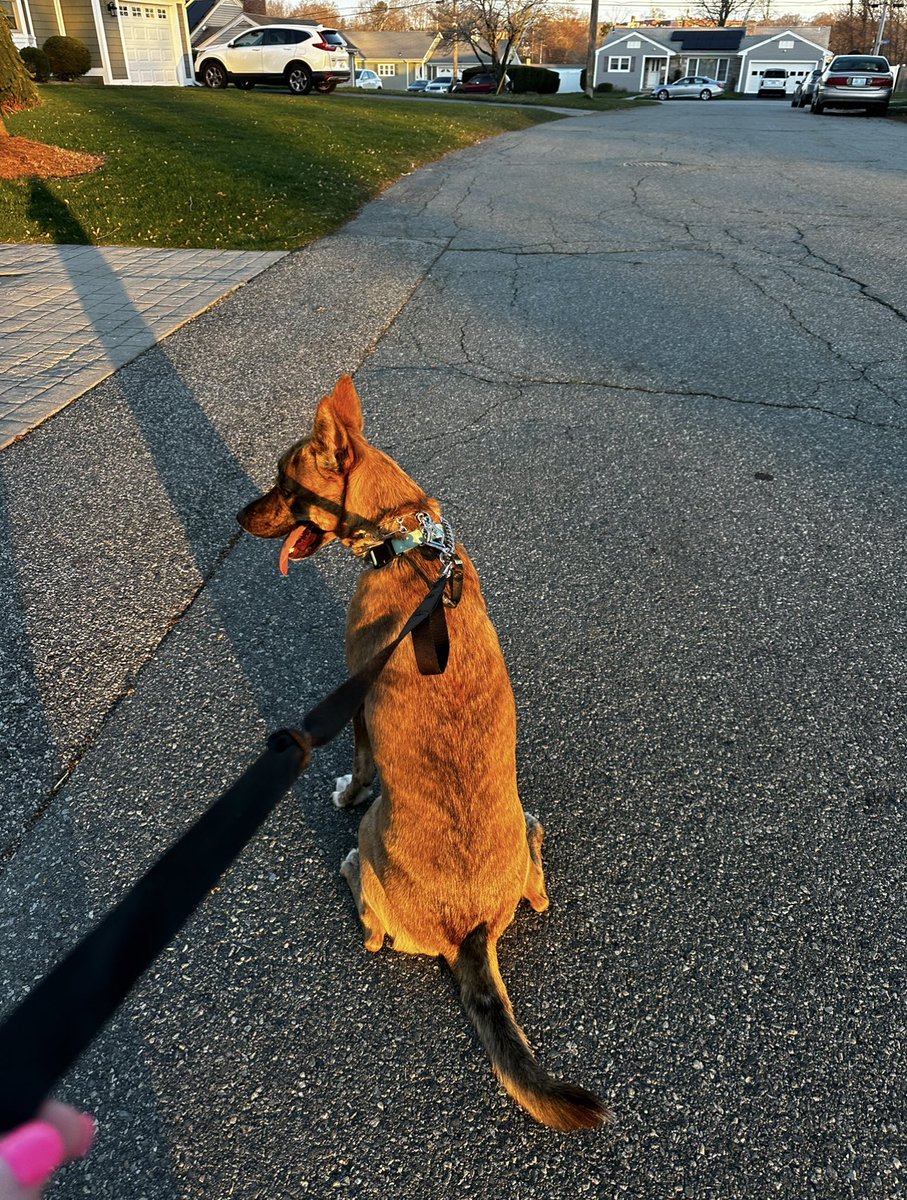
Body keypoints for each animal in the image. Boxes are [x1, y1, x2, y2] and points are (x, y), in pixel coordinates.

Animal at [237, 379, 604, 1128]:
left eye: (285, 486)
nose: (237, 518)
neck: (404, 541)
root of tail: (468, 928)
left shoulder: (357, 705)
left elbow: (360, 766)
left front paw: (347, 791)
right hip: (527, 825)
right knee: (539, 885)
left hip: (373, 858)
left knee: (371, 922)